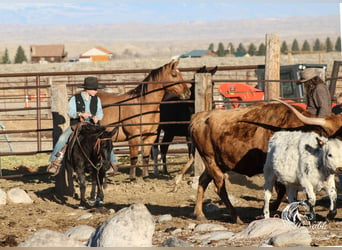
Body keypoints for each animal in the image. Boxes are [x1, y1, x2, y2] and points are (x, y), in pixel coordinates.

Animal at [190, 99, 342, 225]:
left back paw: (199, 214)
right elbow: (282, 191)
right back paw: (236, 217)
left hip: (217, 163)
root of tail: (199, 117)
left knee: (202, 181)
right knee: (219, 187)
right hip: (210, 160)